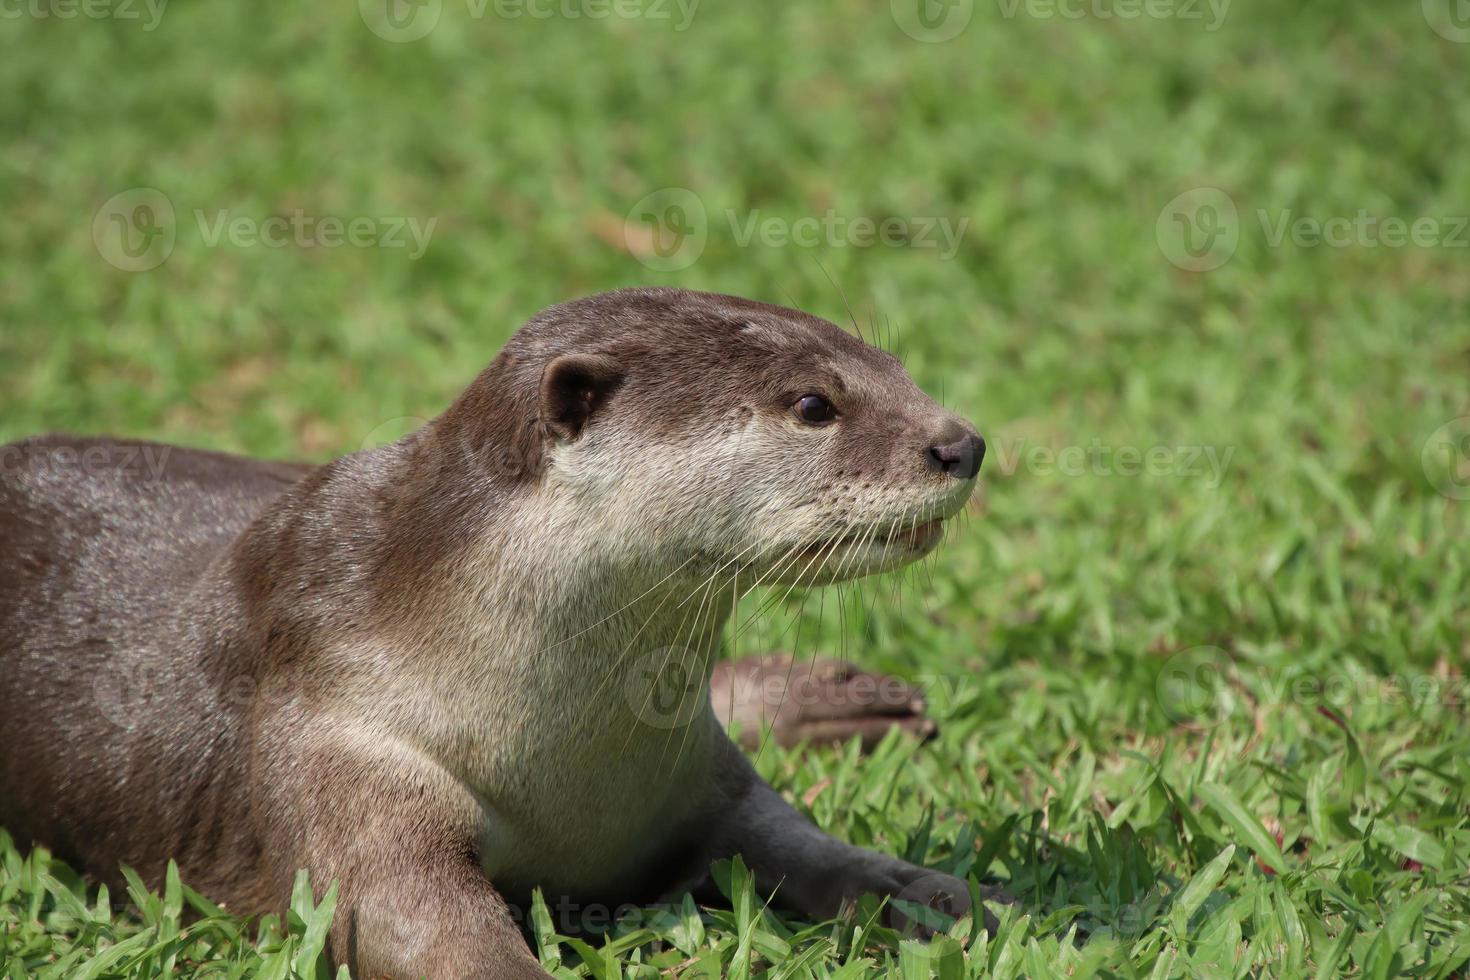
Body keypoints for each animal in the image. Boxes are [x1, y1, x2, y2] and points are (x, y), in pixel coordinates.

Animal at [0, 289, 993, 980]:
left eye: (893, 364)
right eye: (815, 404)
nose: (963, 443)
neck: (570, 772)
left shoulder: (705, 778)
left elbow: (801, 842)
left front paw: (927, 893)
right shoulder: (341, 742)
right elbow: (414, 925)